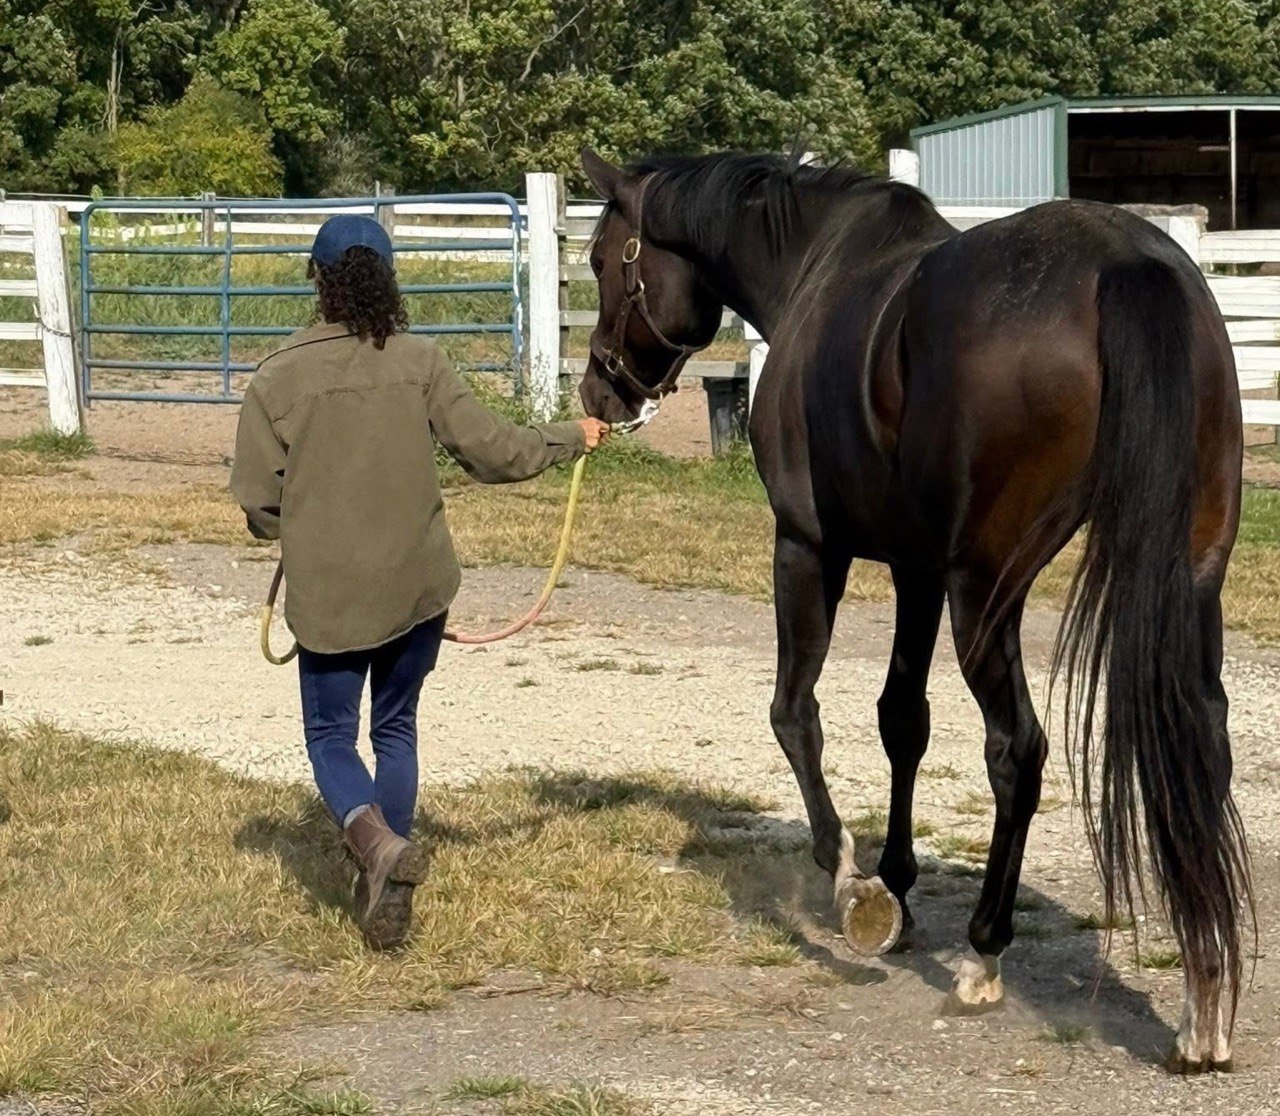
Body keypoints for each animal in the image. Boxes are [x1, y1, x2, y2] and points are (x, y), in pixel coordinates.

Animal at [576, 148, 1251, 1071]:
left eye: (604, 260)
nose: (598, 393)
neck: (812, 265)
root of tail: (1130, 266)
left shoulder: (808, 548)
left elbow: (795, 713)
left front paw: (853, 886)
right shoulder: (915, 569)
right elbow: (903, 718)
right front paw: (896, 884)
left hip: (985, 592)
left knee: (1018, 752)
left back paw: (985, 954)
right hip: (1187, 579)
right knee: (1199, 741)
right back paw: (1203, 999)